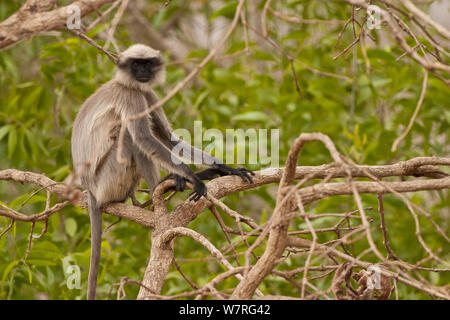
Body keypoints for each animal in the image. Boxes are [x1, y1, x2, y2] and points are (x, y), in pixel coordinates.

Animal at [71, 43, 253, 300]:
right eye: (136, 64)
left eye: (147, 64)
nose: (142, 73)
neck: (129, 84)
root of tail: (90, 190)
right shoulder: (132, 96)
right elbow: (145, 137)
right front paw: (193, 176)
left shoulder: (148, 95)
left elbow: (168, 138)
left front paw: (223, 167)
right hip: (107, 180)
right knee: (129, 135)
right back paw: (163, 184)